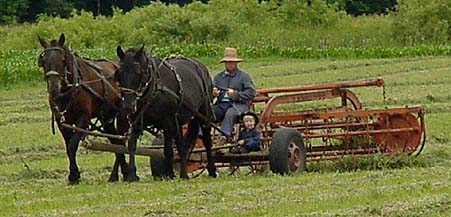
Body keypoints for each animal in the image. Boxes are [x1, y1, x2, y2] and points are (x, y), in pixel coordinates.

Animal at [38, 33, 129, 183]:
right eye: (43, 61)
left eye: (63, 60)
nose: (53, 89)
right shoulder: (62, 121)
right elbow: (68, 146)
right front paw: (73, 175)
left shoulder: (83, 118)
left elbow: (73, 144)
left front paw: (74, 175)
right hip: (107, 119)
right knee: (115, 141)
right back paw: (118, 174)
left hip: (122, 115)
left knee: (121, 141)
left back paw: (125, 173)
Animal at [115, 45, 216, 180]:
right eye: (119, 73)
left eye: (138, 73)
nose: (128, 106)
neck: (153, 89)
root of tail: (200, 66)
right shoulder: (136, 122)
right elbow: (132, 145)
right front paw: (131, 175)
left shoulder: (167, 121)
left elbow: (167, 149)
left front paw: (169, 174)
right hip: (178, 121)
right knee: (182, 145)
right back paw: (184, 173)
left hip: (204, 113)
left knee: (207, 140)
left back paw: (211, 170)